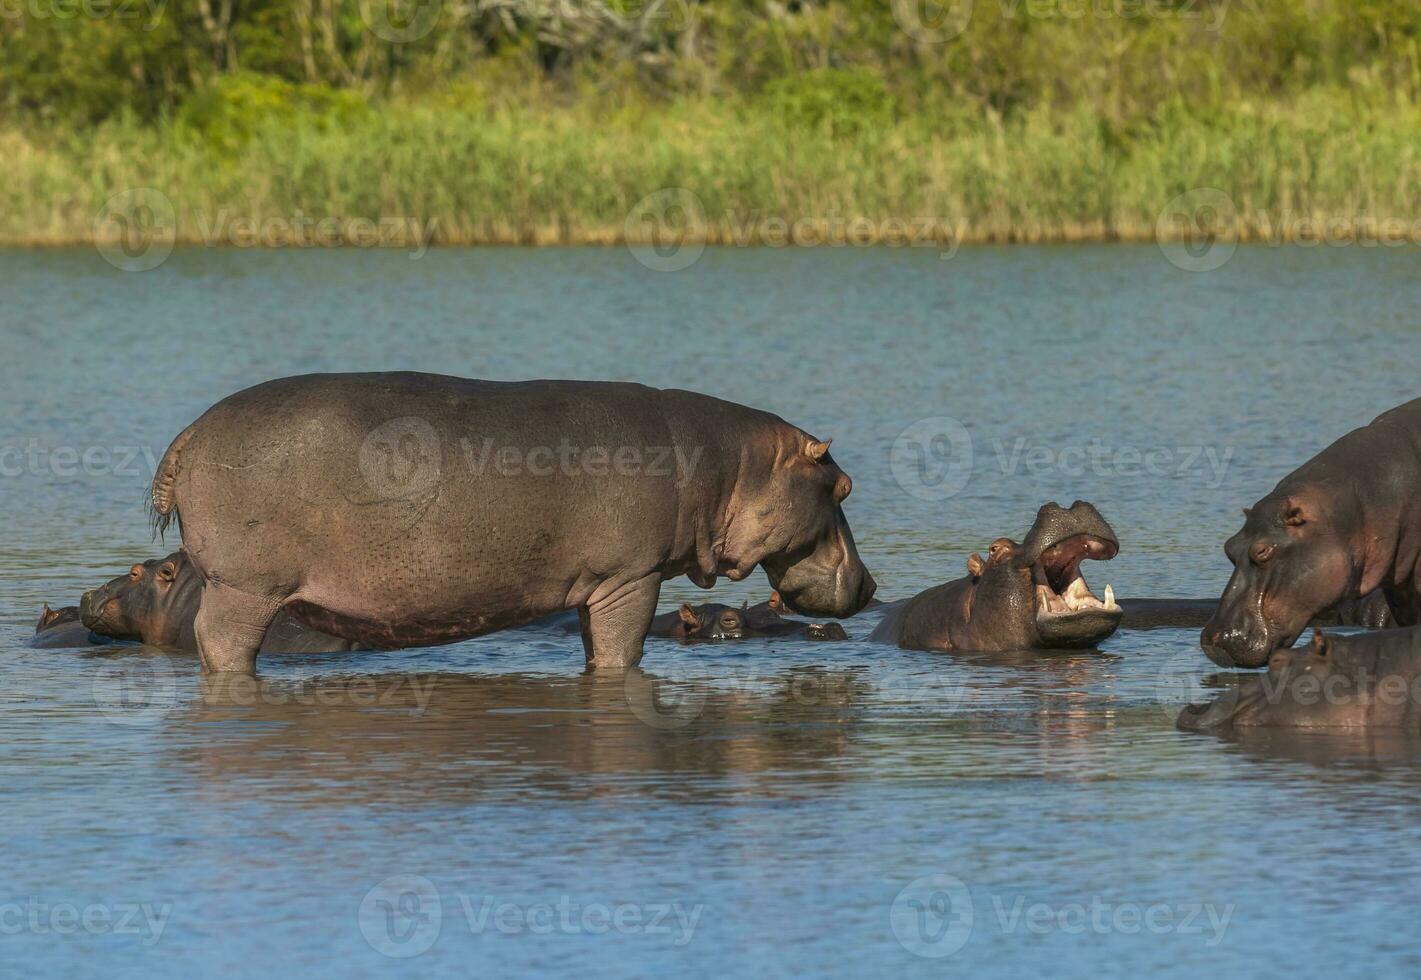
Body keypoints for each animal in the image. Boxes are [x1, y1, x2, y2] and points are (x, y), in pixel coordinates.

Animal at [147, 369, 875, 667]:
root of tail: (189, 432)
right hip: (243, 587)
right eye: (841, 485)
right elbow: (624, 649)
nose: (869, 584)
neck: (731, 464)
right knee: (222, 640)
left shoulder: (593, 587)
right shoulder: (630, 576)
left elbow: (597, 650)